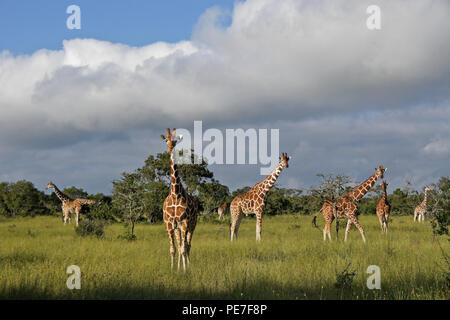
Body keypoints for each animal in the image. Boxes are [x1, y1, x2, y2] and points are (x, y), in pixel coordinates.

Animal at [161, 127, 198, 270]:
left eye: (176, 140)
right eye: (166, 139)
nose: (171, 147)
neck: (175, 193)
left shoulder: (184, 222)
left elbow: (183, 248)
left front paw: (185, 270)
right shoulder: (169, 224)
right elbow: (173, 249)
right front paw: (173, 270)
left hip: (192, 225)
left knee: (188, 245)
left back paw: (188, 265)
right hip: (178, 228)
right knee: (181, 243)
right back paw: (178, 267)